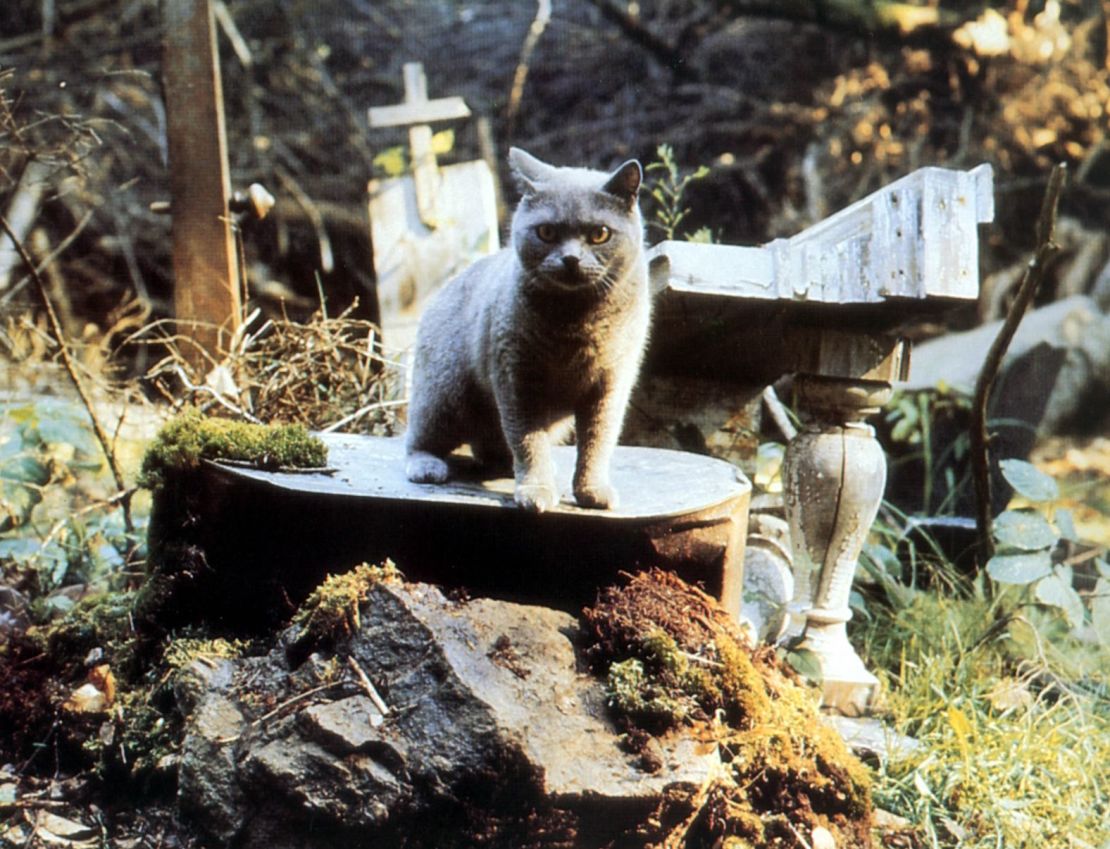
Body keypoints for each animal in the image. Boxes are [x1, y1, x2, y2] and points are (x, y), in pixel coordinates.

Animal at [406, 145, 648, 510]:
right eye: (546, 232)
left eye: (599, 234)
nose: (571, 259)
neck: (577, 323)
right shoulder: (516, 377)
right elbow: (528, 440)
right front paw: (536, 490)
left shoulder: (610, 384)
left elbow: (597, 441)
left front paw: (592, 490)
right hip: (445, 393)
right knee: (418, 437)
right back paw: (427, 466)